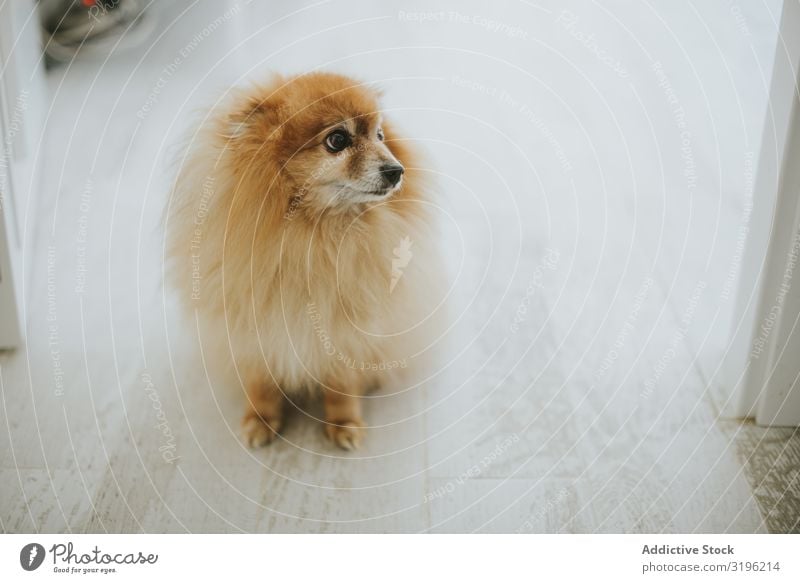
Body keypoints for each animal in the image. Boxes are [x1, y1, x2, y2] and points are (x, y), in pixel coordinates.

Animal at [167, 73, 444, 452]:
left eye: (380, 136)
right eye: (338, 140)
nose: (396, 170)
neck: (313, 234)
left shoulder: (345, 329)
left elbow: (342, 386)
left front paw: (344, 424)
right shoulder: (250, 326)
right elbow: (260, 384)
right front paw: (260, 420)